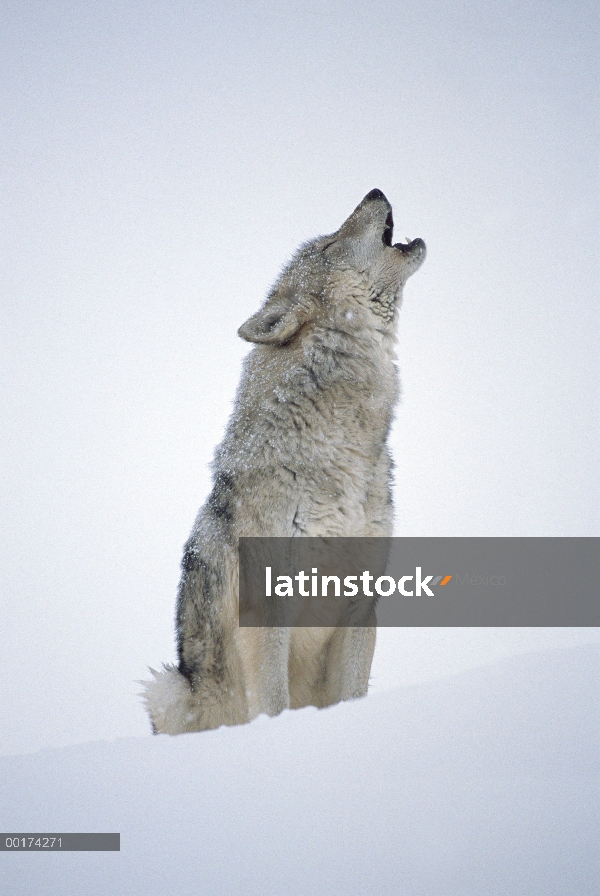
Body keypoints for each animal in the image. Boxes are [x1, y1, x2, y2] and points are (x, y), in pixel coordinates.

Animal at [144, 189, 426, 736]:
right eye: (331, 244)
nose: (375, 191)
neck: (343, 451)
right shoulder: (268, 616)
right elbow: (273, 701)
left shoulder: (361, 607)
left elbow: (352, 694)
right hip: (166, 689)